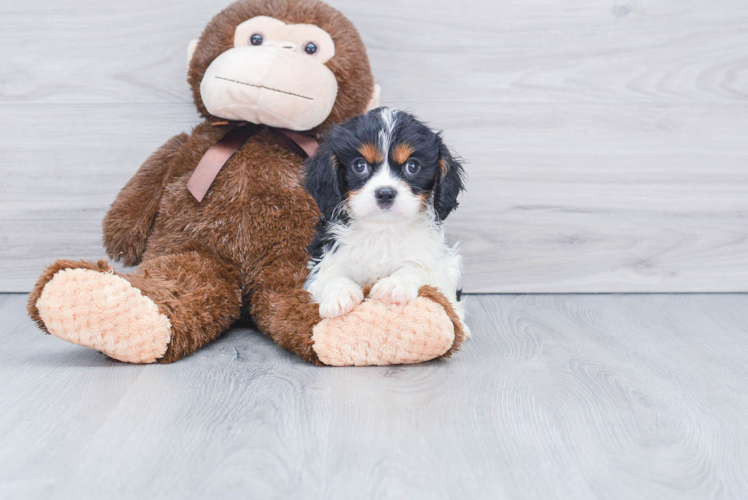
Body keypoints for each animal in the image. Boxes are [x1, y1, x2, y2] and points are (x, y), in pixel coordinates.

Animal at [302, 108, 468, 338]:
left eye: (412, 166)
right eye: (359, 166)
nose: (385, 193)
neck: (382, 229)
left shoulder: (431, 259)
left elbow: (416, 267)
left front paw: (395, 284)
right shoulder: (325, 254)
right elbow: (330, 274)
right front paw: (339, 295)